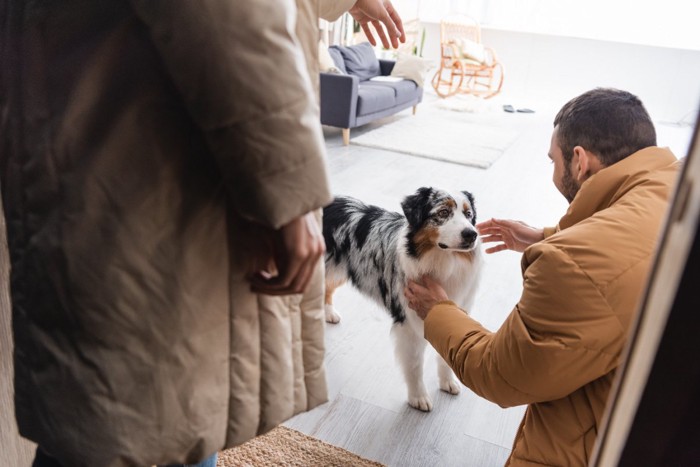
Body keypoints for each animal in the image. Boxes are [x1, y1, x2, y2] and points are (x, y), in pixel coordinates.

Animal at [322, 187, 482, 414]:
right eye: (443, 212)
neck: (443, 260)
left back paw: (329, 313)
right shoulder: (409, 324)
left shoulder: (454, 310)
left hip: (337, 269)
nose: (471, 234)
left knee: (326, 288)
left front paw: (447, 382)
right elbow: (414, 365)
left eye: (469, 215)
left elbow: (447, 352)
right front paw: (418, 397)